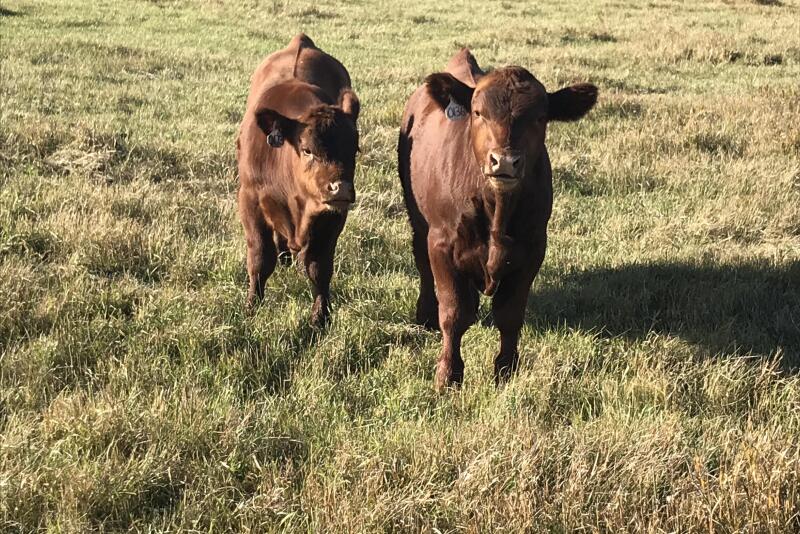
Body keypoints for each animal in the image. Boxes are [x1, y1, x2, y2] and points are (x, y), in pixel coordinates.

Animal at [237, 34, 360, 327]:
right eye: (307, 150)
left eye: (355, 148)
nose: (340, 188)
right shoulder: (250, 201)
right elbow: (259, 259)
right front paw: (252, 306)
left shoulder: (333, 216)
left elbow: (319, 268)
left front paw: (320, 316)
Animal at [398, 49, 597, 391]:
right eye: (478, 112)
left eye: (540, 117)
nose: (504, 161)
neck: (497, 211)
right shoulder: (441, 244)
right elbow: (453, 313)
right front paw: (448, 374)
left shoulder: (533, 249)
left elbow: (510, 314)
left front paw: (505, 370)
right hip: (418, 220)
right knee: (422, 264)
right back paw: (424, 315)